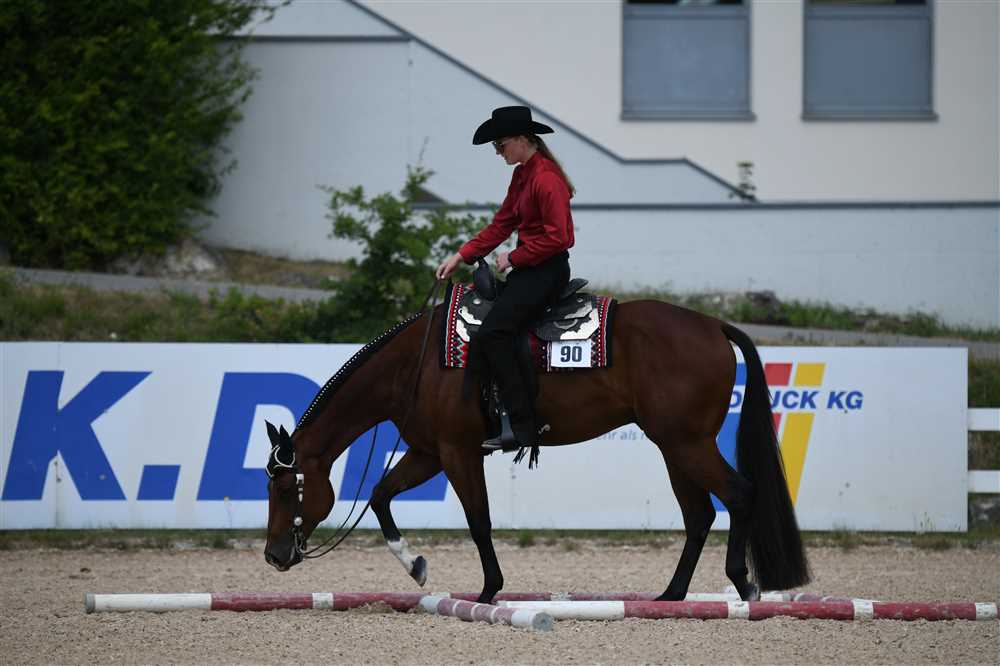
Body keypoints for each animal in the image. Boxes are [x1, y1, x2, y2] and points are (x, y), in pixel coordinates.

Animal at [263, 295, 810, 604]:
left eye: (286, 487)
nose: (273, 555)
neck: (415, 365)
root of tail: (714, 325)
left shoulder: (458, 453)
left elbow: (478, 521)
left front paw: (488, 590)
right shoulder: (428, 453)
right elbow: (380, 495)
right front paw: (416, 566)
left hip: (688, 444)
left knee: (739, 494)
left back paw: (744, 584)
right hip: (675, 448)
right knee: (699, 515)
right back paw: (672, 595)